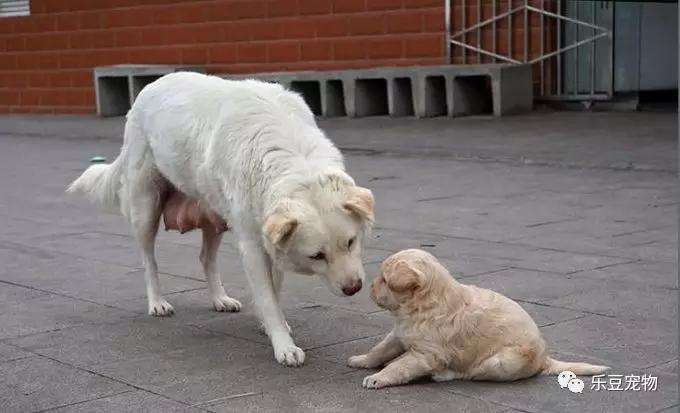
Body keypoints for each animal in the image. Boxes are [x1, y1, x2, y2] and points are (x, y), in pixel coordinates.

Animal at [67, 72, 374, 366]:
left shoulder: (268, 238)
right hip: (146, 207)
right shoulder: (253, 246)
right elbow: (267, 297)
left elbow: (273, 290)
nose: (354, 288)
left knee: (205, 258)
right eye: (317, 256)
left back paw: (219, 299)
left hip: (213, 215)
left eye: (351, 242)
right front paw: (283, 345)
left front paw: (271, 326)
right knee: (148, 260)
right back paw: (157, 303)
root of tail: (151, 86)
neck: (293, 161)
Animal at [348, 249, 608, 388]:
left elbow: (400, 366)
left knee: (468, 373)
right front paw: (362, 360)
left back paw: (443, 374)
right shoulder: (399, 335)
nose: (368, 287)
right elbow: (379, 350)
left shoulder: (426, 354)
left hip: (500, 363)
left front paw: (378, 378)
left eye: (384, 280)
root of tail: (545, 359)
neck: (421, 306)